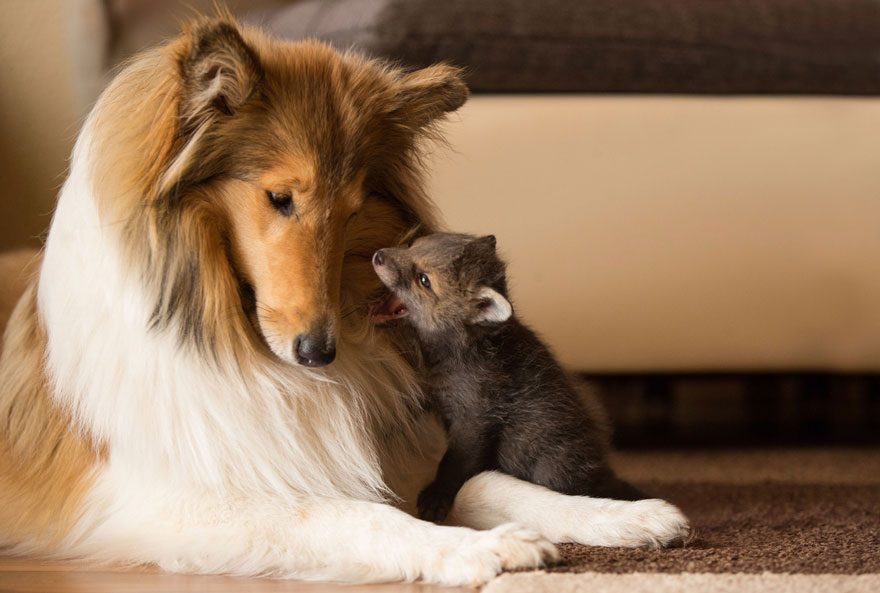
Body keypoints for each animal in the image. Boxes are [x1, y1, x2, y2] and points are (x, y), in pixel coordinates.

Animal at [370, 233, 647, 523]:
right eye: (414, 245)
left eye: (423, 280)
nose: (378, 256)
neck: (464, 350)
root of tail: (601, 471)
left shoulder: (475, 420)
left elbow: (452, 464)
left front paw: (437, 497)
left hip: (548, 465)